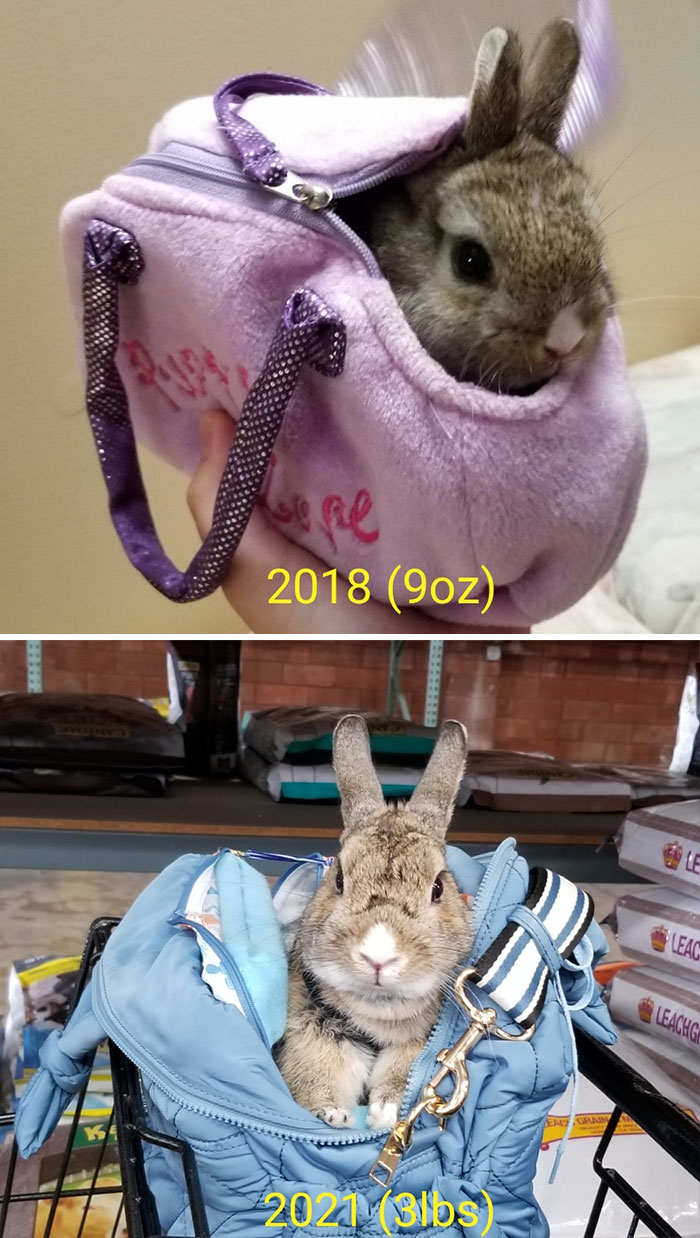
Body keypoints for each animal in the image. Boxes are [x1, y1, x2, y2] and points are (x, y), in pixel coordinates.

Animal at [274, 714, 473, 1130]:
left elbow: (401, 1078)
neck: (379, 1017)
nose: (378, 956)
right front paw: (331, 1115)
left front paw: (386, 1112)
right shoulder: (310, 1035)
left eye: (438, 887)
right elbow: (314, 1079)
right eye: (338, 879)